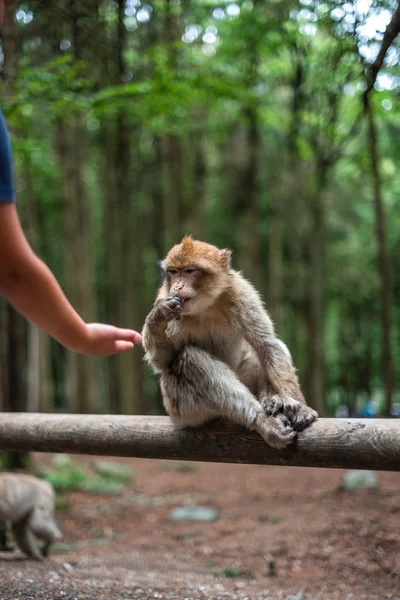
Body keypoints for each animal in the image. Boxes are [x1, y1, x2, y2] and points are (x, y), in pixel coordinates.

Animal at [142, 237, 318, 448]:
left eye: (189, 271)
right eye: (174, 272)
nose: (177, 286)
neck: (206, 305)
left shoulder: (241, 292)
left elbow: (266, 345)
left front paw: (300, 407)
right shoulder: (166, 299)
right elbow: (163, 362)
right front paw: (157, 317)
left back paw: (275, 402)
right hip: (183, 410)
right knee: (191, 358)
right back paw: (263, 420)